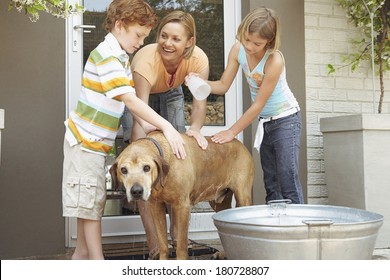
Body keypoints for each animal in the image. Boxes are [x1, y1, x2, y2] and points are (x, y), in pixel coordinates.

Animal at [111, 131, 254, 260]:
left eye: (147, 168)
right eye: (123, 170)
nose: (136, 191)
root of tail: (239, 143)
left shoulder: (182, 206)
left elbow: (181, 243)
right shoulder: (156, 207)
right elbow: (162, 243)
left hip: (243, 196)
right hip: (218, 202)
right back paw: (224, 253)